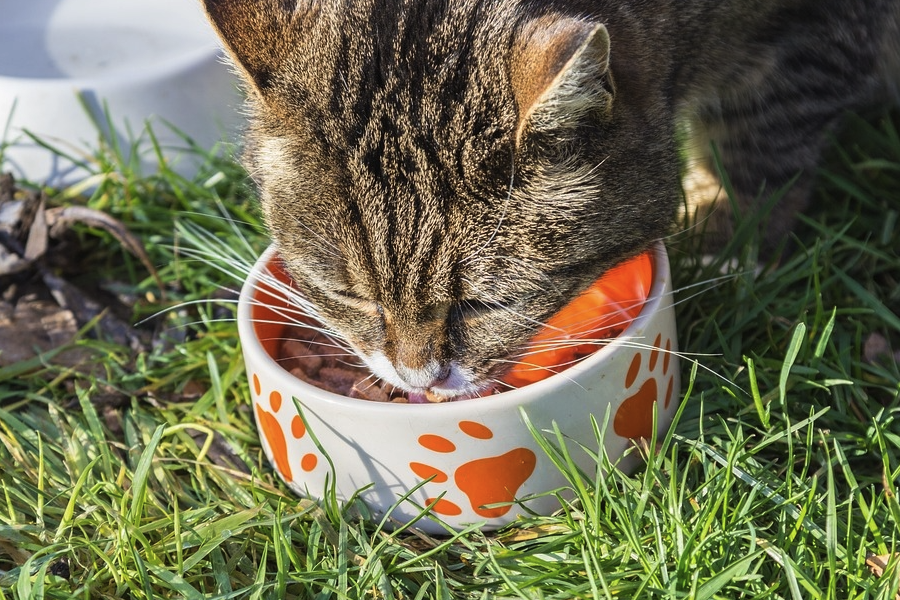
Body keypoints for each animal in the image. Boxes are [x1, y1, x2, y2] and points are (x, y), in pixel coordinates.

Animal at [200, 1, 900, 398]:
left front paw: (725, 240)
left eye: (487, 303)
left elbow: (761, 139)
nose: (419, 380)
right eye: (348, 296)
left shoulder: (811, 38)